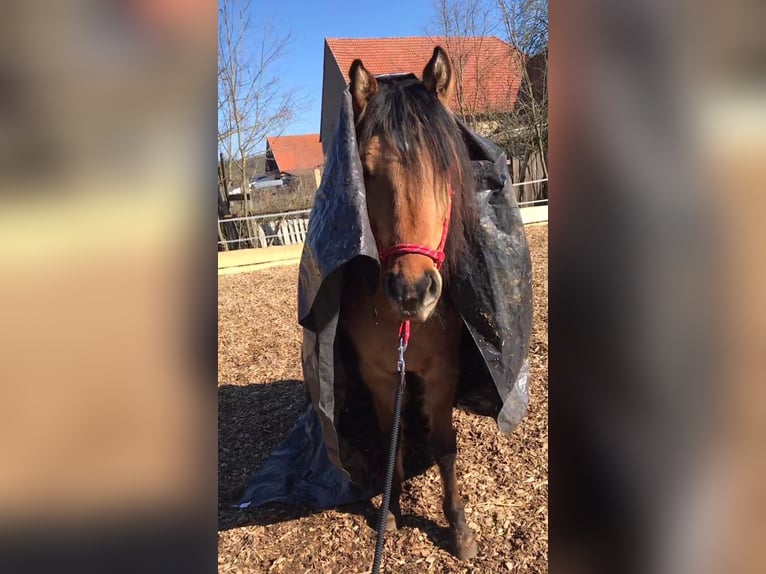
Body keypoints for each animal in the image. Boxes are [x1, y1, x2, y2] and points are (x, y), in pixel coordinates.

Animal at [338, 46, 480, 560]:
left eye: (446, 167)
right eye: (365, 171)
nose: (413, 292)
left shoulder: (443, 369)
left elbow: (445, 445)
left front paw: (458, 527)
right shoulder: (381, 375)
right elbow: (389, 440)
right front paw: (392, 508)